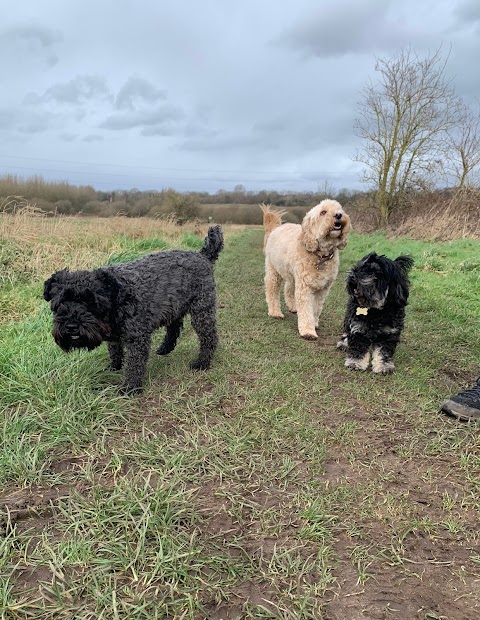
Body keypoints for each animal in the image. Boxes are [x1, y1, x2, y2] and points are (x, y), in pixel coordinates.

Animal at [43, 225, 223, 394]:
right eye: (60, 302)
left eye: (91, 301)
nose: (71, 326)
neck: (116, 298)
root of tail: (202, 255)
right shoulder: (114, 336)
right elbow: (114, 351)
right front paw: (113, 368)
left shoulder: (137, 338)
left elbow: (134, 364)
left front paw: (130, 388)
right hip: (174, 308)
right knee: (174, 327)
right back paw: (165, 348)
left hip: (202, 310)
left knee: (209, 337)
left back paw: (202, 362)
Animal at [264, 200, 350, 340]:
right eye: (323, 212)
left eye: (340, 209)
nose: (338, 215)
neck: (321, 256)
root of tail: (276, 228)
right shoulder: (305, 288)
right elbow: (306, 309)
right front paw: (308, 331)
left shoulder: (322, 289)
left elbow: (316, 308)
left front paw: (314, 323)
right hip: (274, 270)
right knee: (272, 290)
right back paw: (275, 312)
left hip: (292, 274)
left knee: (288, 288)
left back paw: (293, 307)